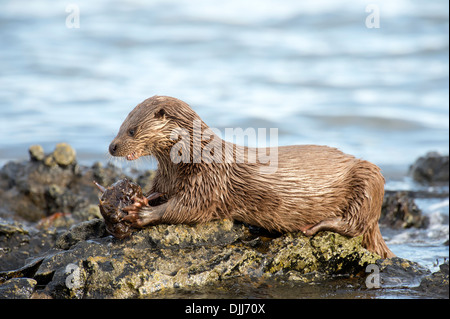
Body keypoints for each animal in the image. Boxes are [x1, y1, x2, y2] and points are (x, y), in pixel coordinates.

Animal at [108, 94, 394, 258]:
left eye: (132, 130)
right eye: (120, 126)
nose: (111, 146)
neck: (194, 156)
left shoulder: (209, 180)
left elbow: (189, 208)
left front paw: (141, 213)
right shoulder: (167, 179)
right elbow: (160, 193)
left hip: (369, 178)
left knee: (356, 223)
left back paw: (316, 226)